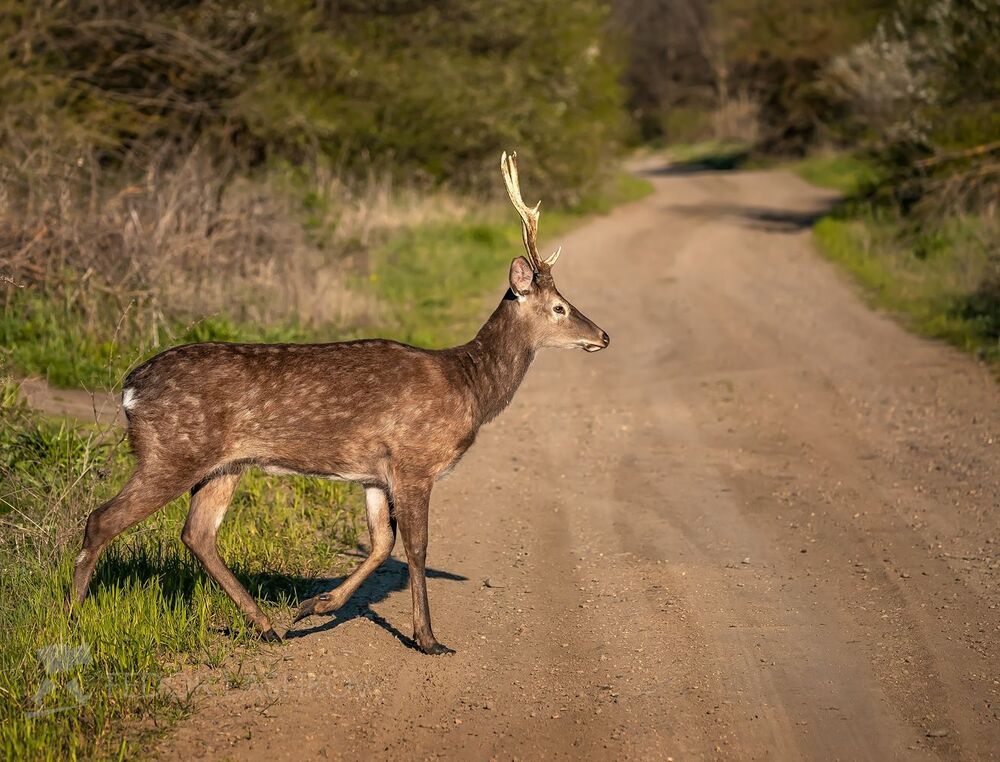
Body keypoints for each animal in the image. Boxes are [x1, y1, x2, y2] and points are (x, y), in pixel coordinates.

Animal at [71, 152, 610, 655]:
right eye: (559, 307)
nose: (603, 335)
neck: (470, 386)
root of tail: (129, 387)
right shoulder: (414, 461)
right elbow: (416, 547)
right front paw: (428, 638)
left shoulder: (374, 472)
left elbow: (382, 544)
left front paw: (315, 606)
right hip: (171, 450)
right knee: (102, 519)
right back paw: (72, 619)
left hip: (225, 464)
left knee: (197, 534)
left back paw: (267, 625)